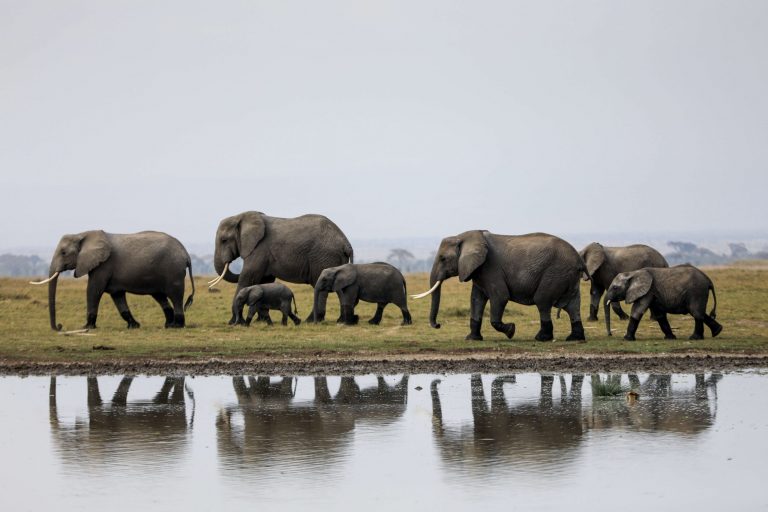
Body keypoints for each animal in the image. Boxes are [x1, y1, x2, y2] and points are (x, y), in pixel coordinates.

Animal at [31, 230, 195, 330]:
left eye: (64, 253)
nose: (60, 326)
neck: (83, 234)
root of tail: (186, 254)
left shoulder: (104, 265)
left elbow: (93, 290)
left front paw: (86, 327)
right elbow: (117, 296)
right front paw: (134, 326)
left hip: (173, 271)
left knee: (175, 295)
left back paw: (177, 326)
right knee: (160, 296)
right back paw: (168, 324)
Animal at [210, 212, 354, 324]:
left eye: (224, 240)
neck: (241, 217)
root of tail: (346, 243)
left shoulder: (259, 249)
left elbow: (247, 277)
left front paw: (234, 322)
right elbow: (265, 280)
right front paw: (260, 321)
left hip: (323, 256)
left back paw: (312, 320)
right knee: (339, 288)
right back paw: (341, 320)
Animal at [414, 230, 584, 342]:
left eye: (443, 258)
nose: (438, 325)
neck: (463, 237)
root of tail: (578, 259)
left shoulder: (491, 268)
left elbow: (500, 296)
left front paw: (511, 331)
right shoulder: (479, 271)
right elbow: (476, 299)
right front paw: (472, 339)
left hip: (555, 272)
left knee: (542, 301)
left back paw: (541, 338)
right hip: (566, 275)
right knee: (572, 305)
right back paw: (574, 338)